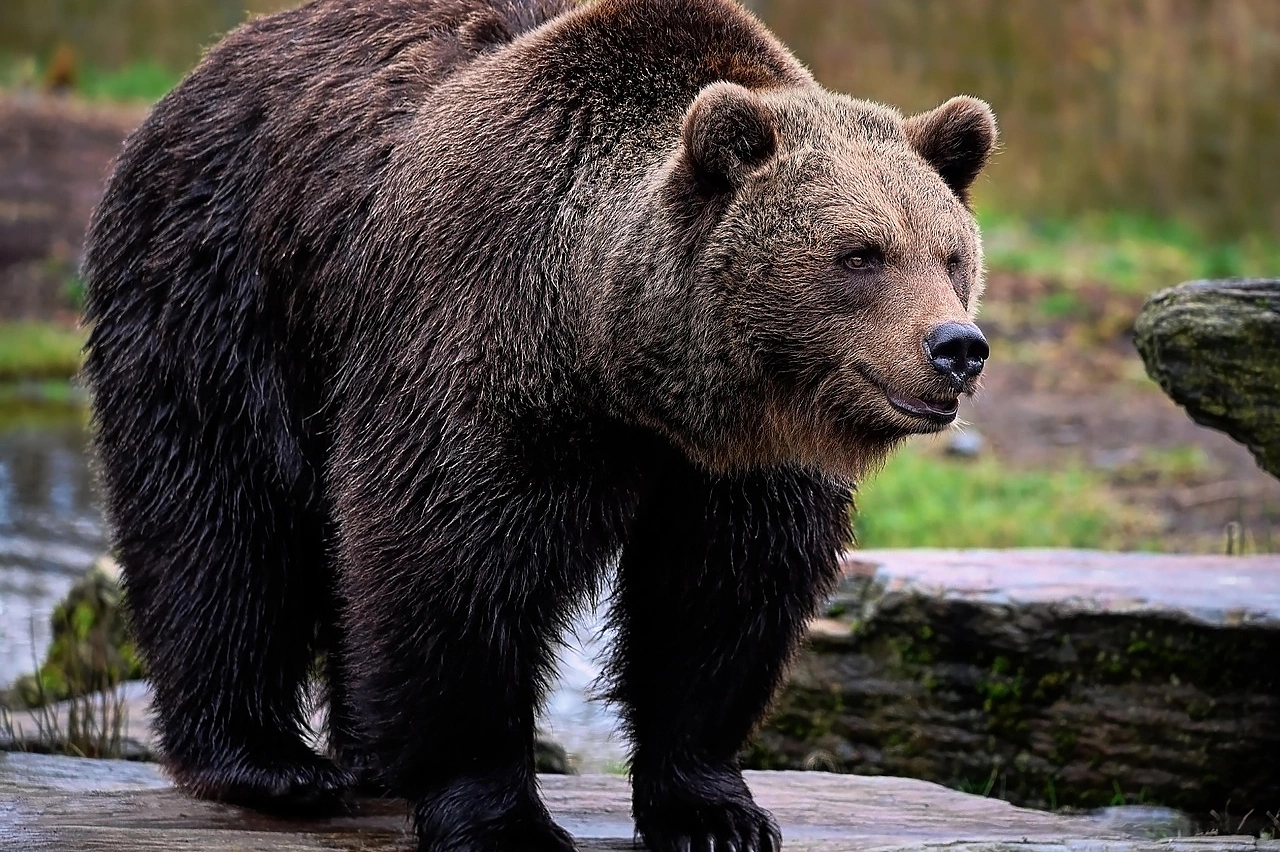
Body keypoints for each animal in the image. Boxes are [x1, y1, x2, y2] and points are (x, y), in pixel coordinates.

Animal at [81, 0, 995, 850]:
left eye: (951, 254)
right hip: (227, 281)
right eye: (861, 254)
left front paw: (714, 811)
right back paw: (269, 762)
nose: (957, 347)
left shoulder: (741, 466)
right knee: (222, 516)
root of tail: (218, 56)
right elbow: (448, 564)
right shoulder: (479, 346)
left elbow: (719, 597)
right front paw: (500, 817)